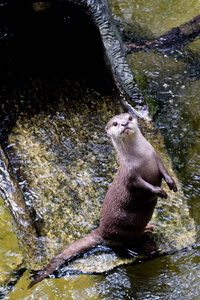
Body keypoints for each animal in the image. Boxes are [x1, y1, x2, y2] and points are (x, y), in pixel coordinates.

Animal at [27, 112, 177, 288]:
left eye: (129, 118)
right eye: (115, 123)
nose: (124, 124)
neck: (142, 158)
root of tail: (102, 230)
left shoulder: (155, 157)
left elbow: (164, 171)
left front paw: (171, 184)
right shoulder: (131, 175)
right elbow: (144, 186)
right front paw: (159, 191)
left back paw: (148, 227)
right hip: (124, 229)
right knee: (130, 245)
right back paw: (149, 247)